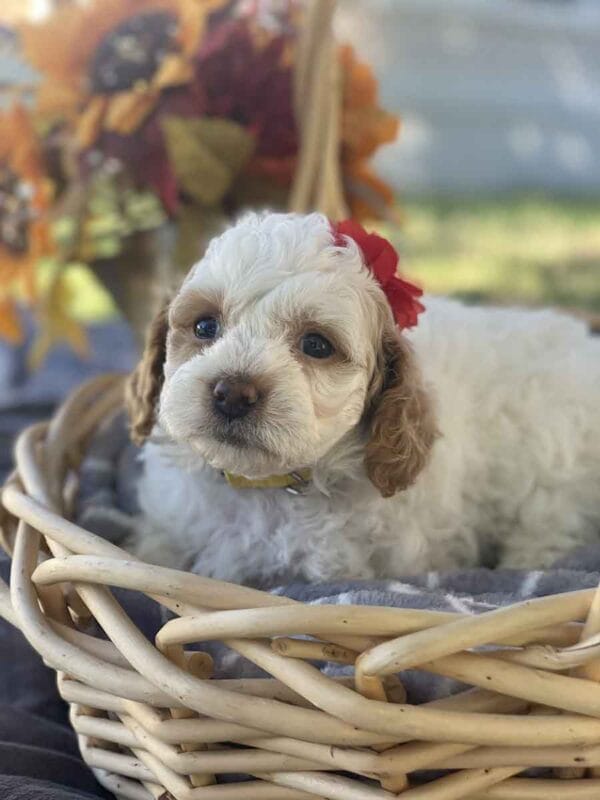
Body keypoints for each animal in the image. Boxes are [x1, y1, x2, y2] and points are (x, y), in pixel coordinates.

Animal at [125, 211, 600, 588]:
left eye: (316, 345)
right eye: (205, 326)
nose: (232, 393)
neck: (266, 489)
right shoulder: (169, 527)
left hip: (555, 486)